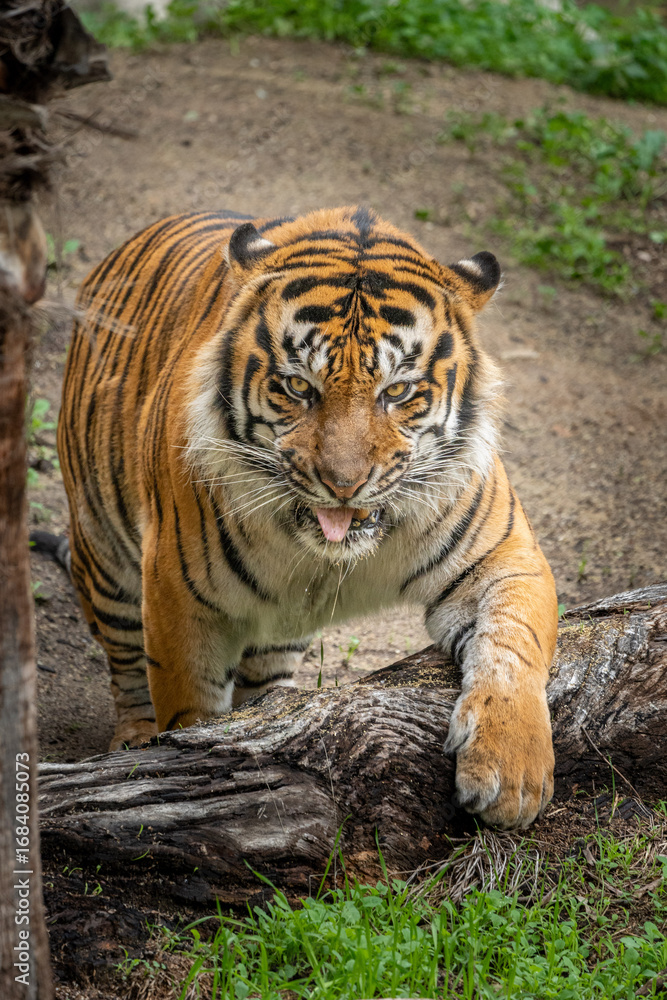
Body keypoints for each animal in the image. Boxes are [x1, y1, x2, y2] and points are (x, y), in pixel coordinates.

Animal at [57, 205, 558, 830]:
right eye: (298, 385)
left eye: (398, 391)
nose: (343, 484)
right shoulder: (179, 596)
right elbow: (188, 710)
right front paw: (179, 763)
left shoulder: (505, 557)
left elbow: (514, 646)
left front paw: (512, 774)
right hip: (103, 553)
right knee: (125, 662)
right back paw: (132, 740)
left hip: (281, 630)